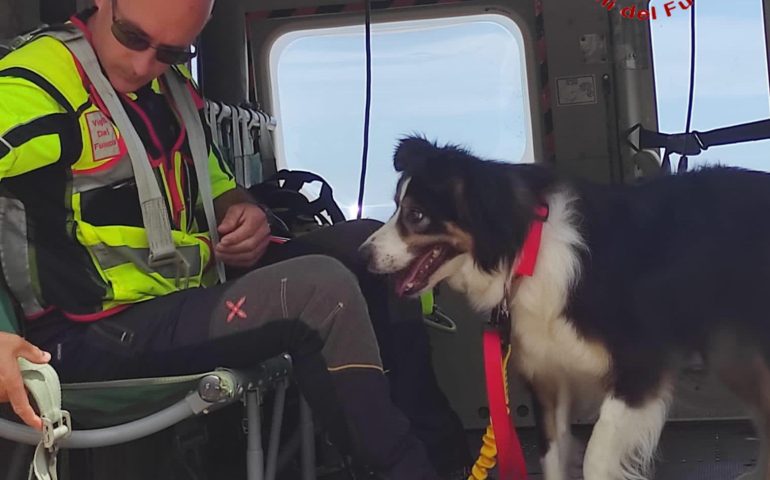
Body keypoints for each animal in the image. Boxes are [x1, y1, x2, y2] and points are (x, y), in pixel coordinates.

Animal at [358, 136, 768, 480]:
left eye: (416, 215)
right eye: (396, 208)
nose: (362, 256)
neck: (526, 253)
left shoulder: (639, 368)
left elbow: (596, 456)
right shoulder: (548, 379)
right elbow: (552, 457)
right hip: (734, 357)